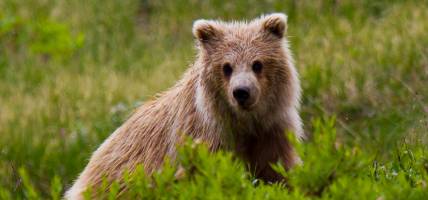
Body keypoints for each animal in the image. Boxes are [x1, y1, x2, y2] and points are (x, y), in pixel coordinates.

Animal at [65, 13, 302, 199]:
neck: (244, 123)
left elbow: (279, 171)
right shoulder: (203, 140)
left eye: (257, 64)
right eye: (226, 67)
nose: (242, 92)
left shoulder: (272, 132)